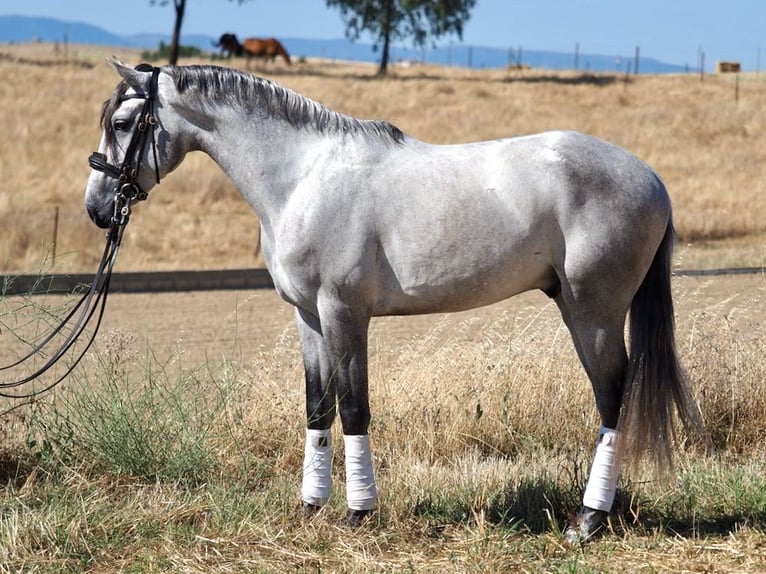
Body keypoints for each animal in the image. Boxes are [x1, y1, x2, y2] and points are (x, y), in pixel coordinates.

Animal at [85, 60, 708, 548]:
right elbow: (318, 408)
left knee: (613, 398)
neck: (303, 176)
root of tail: (651, 179)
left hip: (592, 313)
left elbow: (354, 407)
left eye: (121, 123)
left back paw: (589, 519)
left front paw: (359, 513)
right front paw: (310, 507)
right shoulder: (309, 318)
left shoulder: (344, 313)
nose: (97, 208)